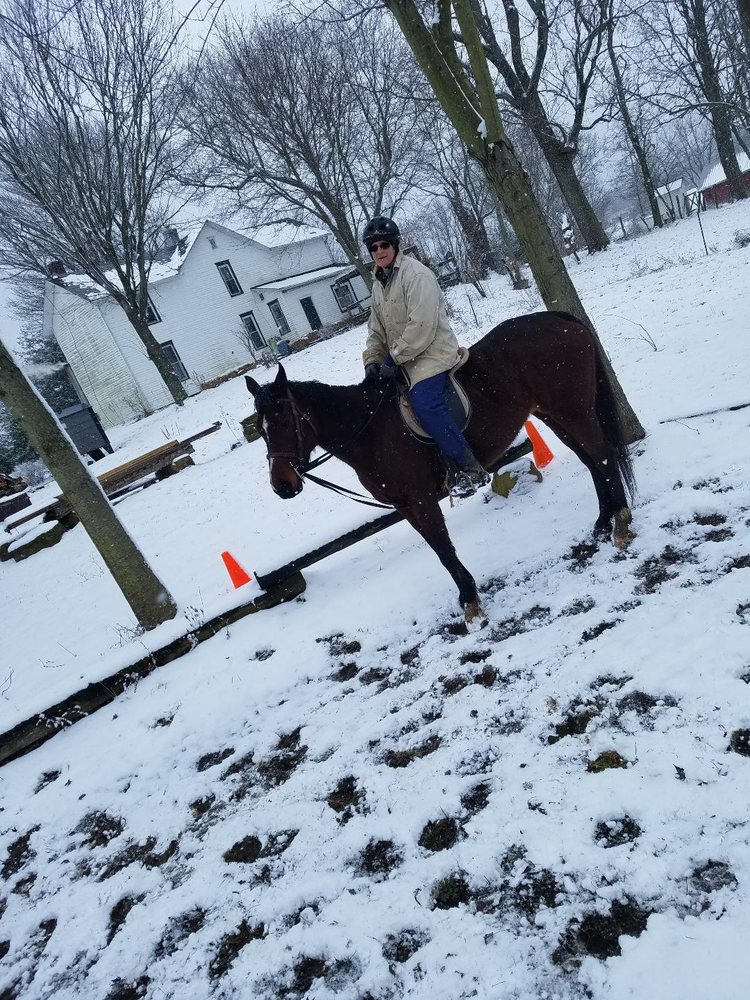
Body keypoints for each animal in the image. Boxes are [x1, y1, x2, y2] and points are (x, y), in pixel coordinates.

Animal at [245, 311, 637, 622]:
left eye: (283, 421)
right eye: (260, 430)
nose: (282, 486)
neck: (368, 428)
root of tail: (558, 319)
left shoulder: (420, 499)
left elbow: (444, 548)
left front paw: (472, 603)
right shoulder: (406, 506)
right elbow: (438, 551)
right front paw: (466, 597)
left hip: (573, 410)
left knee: (603, 455)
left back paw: (620, 524)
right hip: (552, 414)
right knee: (591, 461)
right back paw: (602, 523)